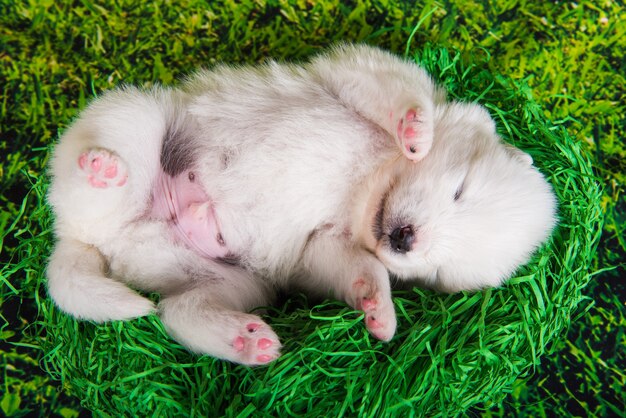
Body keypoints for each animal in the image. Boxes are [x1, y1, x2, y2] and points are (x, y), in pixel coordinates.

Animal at [48, 44, 556, 366]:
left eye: (439, 270)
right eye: (459, 191)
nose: (405, 240)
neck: (366, 185)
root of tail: (90, 244)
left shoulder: (322, 247)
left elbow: (362, 269)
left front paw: (379, 310)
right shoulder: (354, 71)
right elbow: (400, 96)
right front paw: (416, 130)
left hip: (232, 280)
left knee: (180, 313)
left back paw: (243, 341)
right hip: (134, 116)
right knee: (96, 175)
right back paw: (102, 169)